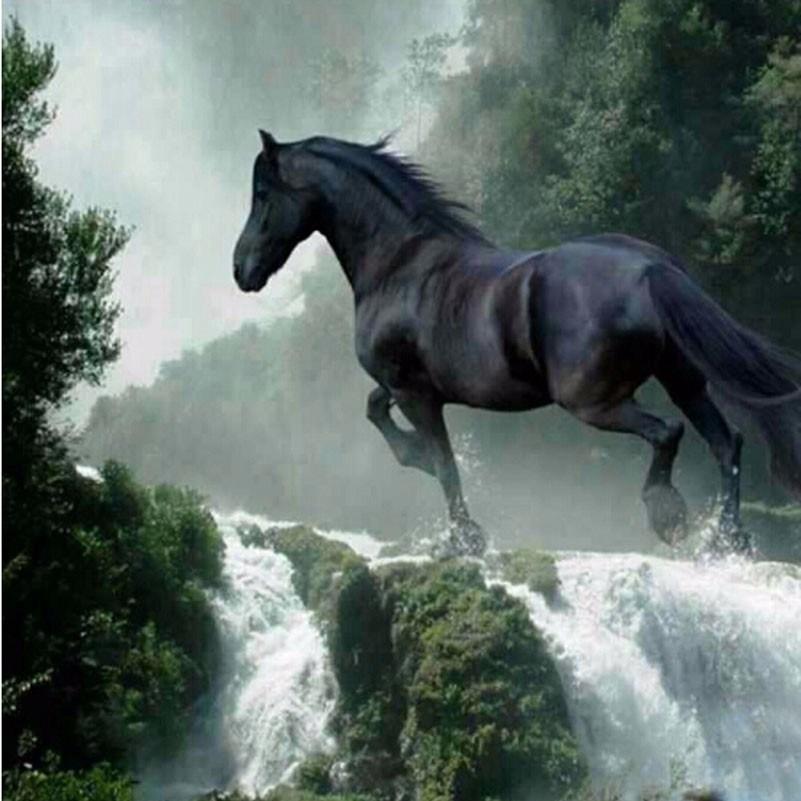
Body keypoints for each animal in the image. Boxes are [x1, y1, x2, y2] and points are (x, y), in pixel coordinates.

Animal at [233, 131, 801, 556]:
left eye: (262, 195)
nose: (241, 270)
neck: (400, 264)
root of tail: (649, 268)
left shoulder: (415, 393)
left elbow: (444, 464)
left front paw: (464, 538)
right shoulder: (405, 387)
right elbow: (379, 412)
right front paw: (416, 458)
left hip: (592, 401)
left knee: (669, 433)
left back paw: (669, 516)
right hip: (682, 379)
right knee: (727, 442)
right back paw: (727, 541)